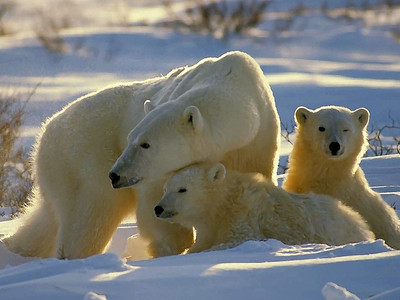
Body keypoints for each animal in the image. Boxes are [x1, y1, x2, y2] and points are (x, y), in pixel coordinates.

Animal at [154, 163, 376, 252]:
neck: (225, 203)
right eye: (165, 189)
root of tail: (363, 225)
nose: (158, 208)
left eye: (182, 189)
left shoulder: (245, 215)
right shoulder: (210, 225)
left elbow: (238, 240)